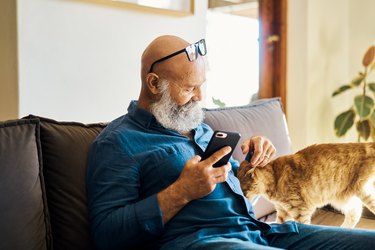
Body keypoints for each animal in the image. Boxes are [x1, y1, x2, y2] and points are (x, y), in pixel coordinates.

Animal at [238, 142, 375, 228]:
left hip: (364, 192)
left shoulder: (301, 210)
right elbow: (279, 222)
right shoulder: (283, 211)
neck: (274, 178)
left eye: (243, 191)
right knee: (355, 214)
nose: (243, 198)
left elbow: (305, 225)